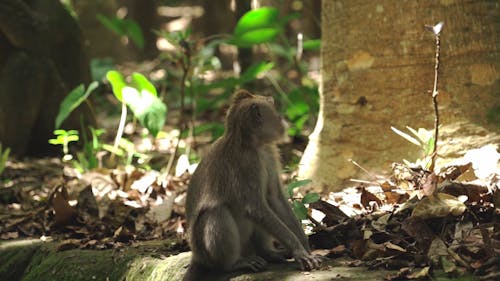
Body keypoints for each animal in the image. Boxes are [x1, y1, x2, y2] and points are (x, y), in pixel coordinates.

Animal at [183, 90, 320, 280]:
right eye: (277, 115)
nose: (284, 121)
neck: (252, 143)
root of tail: (196, 257)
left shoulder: (269, 153)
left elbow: (274, 198)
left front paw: (305, 246)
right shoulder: (247, 164)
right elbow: (255, 208)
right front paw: (298, 250)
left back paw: (267, 253)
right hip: (206, 252)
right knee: (217, 213)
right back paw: (232, 264)